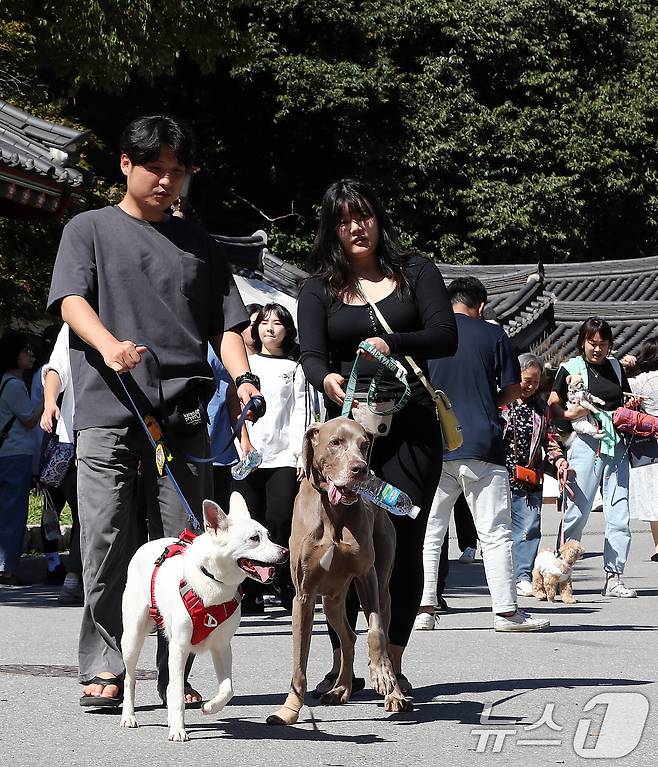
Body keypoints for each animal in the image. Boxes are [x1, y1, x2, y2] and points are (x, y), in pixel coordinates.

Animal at [120, 496, 288, 740]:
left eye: (268, 535)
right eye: (254, 539)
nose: (285, 551)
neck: (212, 580)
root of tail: (148, 544)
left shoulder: (222, 647)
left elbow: (227, 689)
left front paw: (210, 707)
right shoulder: (180, 647)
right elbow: (177, 692)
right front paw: (178, 730)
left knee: (168, 685)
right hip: (133, 637)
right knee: (130, 679)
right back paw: (128, 716)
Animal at [266, 416, 410, 724]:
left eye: (364, 444)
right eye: (335, 443)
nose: (360, 469)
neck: (332, 512)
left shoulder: (366, 576)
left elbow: (376, 633)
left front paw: (382, 675)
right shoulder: (304, 595)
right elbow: (300, 660)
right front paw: (289, 709)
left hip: (381, 585)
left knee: (378, 631)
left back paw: (393, 692)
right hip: (331, 600)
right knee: (348, 637)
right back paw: (341, 688)